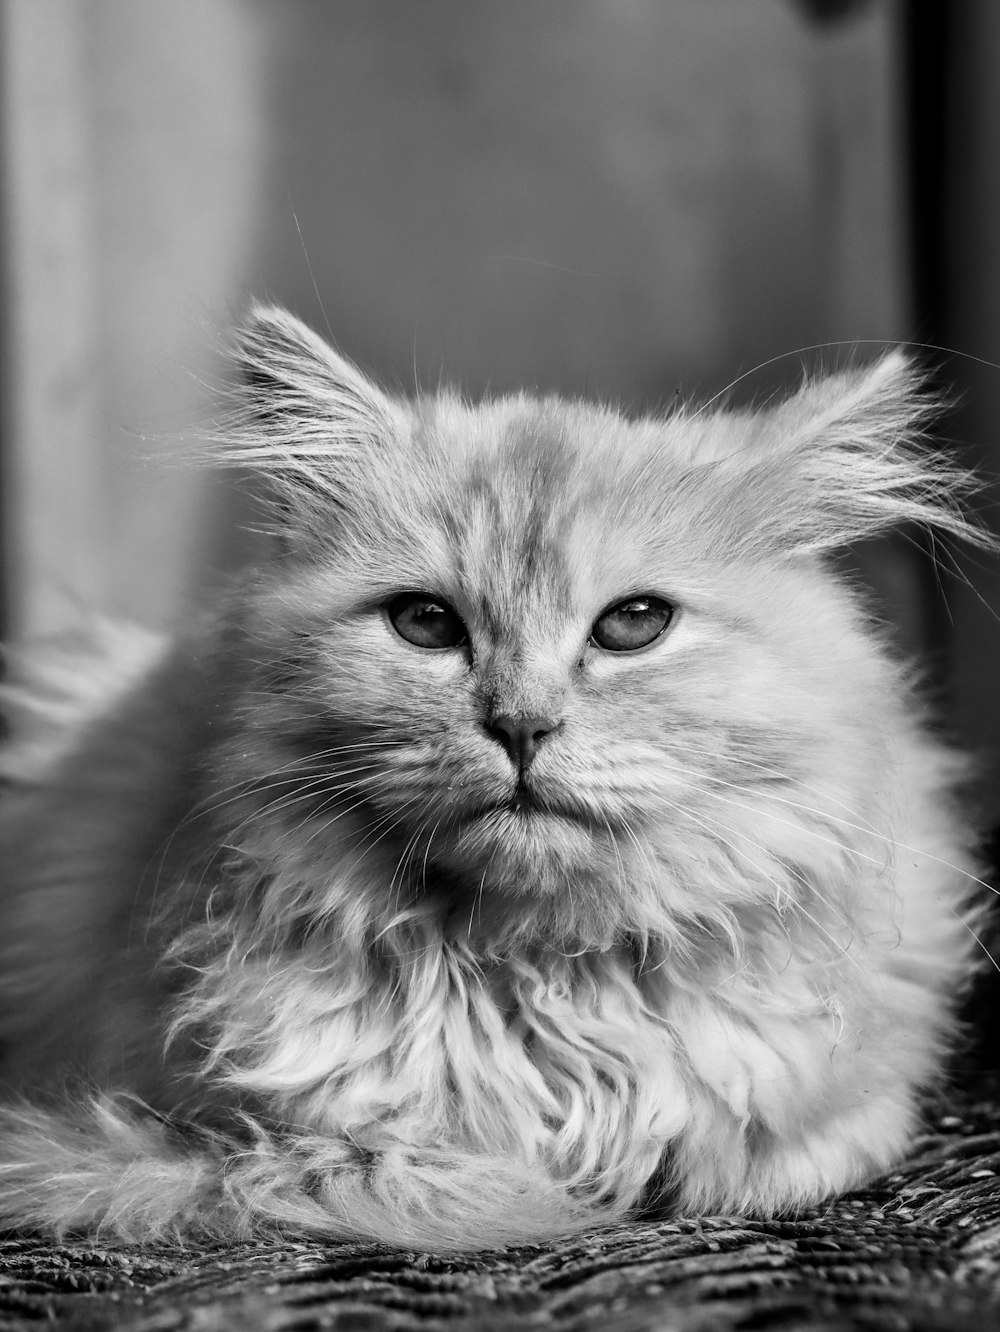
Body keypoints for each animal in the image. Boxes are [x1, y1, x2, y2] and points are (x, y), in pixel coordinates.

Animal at [0, 306, 990, 1252]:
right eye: (426, 623)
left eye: (634, 623)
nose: (521, 724)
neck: (536, 976)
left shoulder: (836, 1117)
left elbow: (771, 1158)